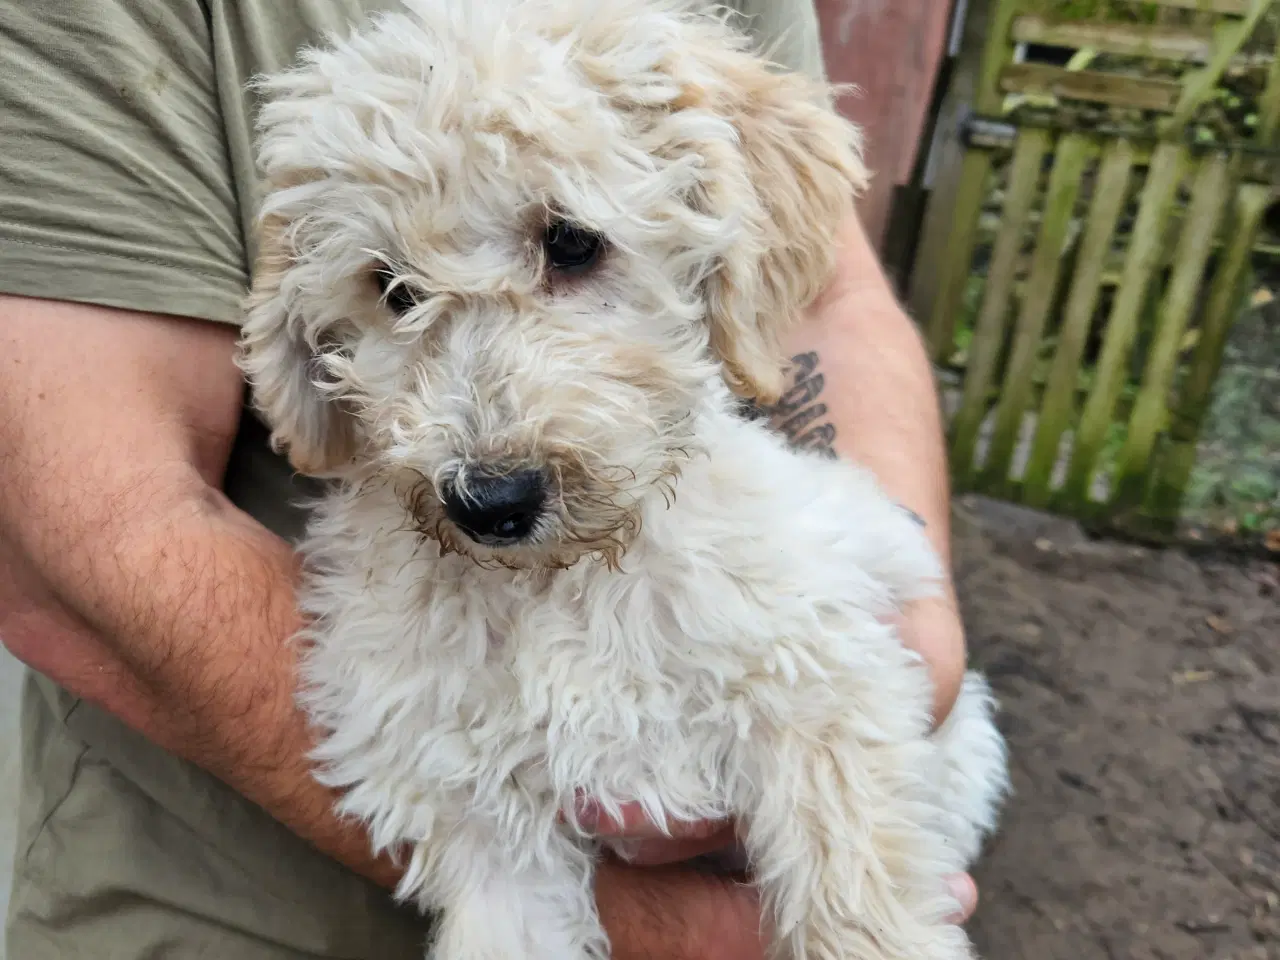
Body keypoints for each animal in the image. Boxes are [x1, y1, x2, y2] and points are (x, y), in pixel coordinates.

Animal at [235, 1, 1003, 960]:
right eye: (391, 287)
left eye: (572, 242)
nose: (492, 503)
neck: (566, 588)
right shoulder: (475, 810)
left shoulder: (824, 685)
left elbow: (859, 905)